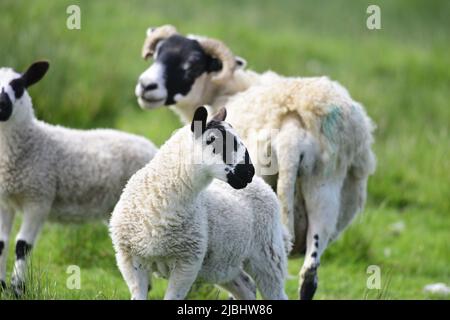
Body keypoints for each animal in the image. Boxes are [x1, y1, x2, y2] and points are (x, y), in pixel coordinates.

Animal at [0, 60, 158, 296]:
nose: (1, 105)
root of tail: (153, 148)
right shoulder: (4, 201)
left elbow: (22, 246)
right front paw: (2, 286)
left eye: (18, 86)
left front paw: (18, 289)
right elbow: (2, 243)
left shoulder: (39, 198)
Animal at [110, 107, 290, 300]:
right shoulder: (129, 258)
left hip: (268, 254)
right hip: (223, 264)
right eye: (211, 140)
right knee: (246, 286)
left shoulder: (187, 263)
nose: (248, 171)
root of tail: (262, 183)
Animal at [134, 25, 376, 300]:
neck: (229, 89)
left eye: (193, 63)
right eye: (157, 54)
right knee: (310, 273)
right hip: (325, 184)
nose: (146, 86)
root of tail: (293, 129)